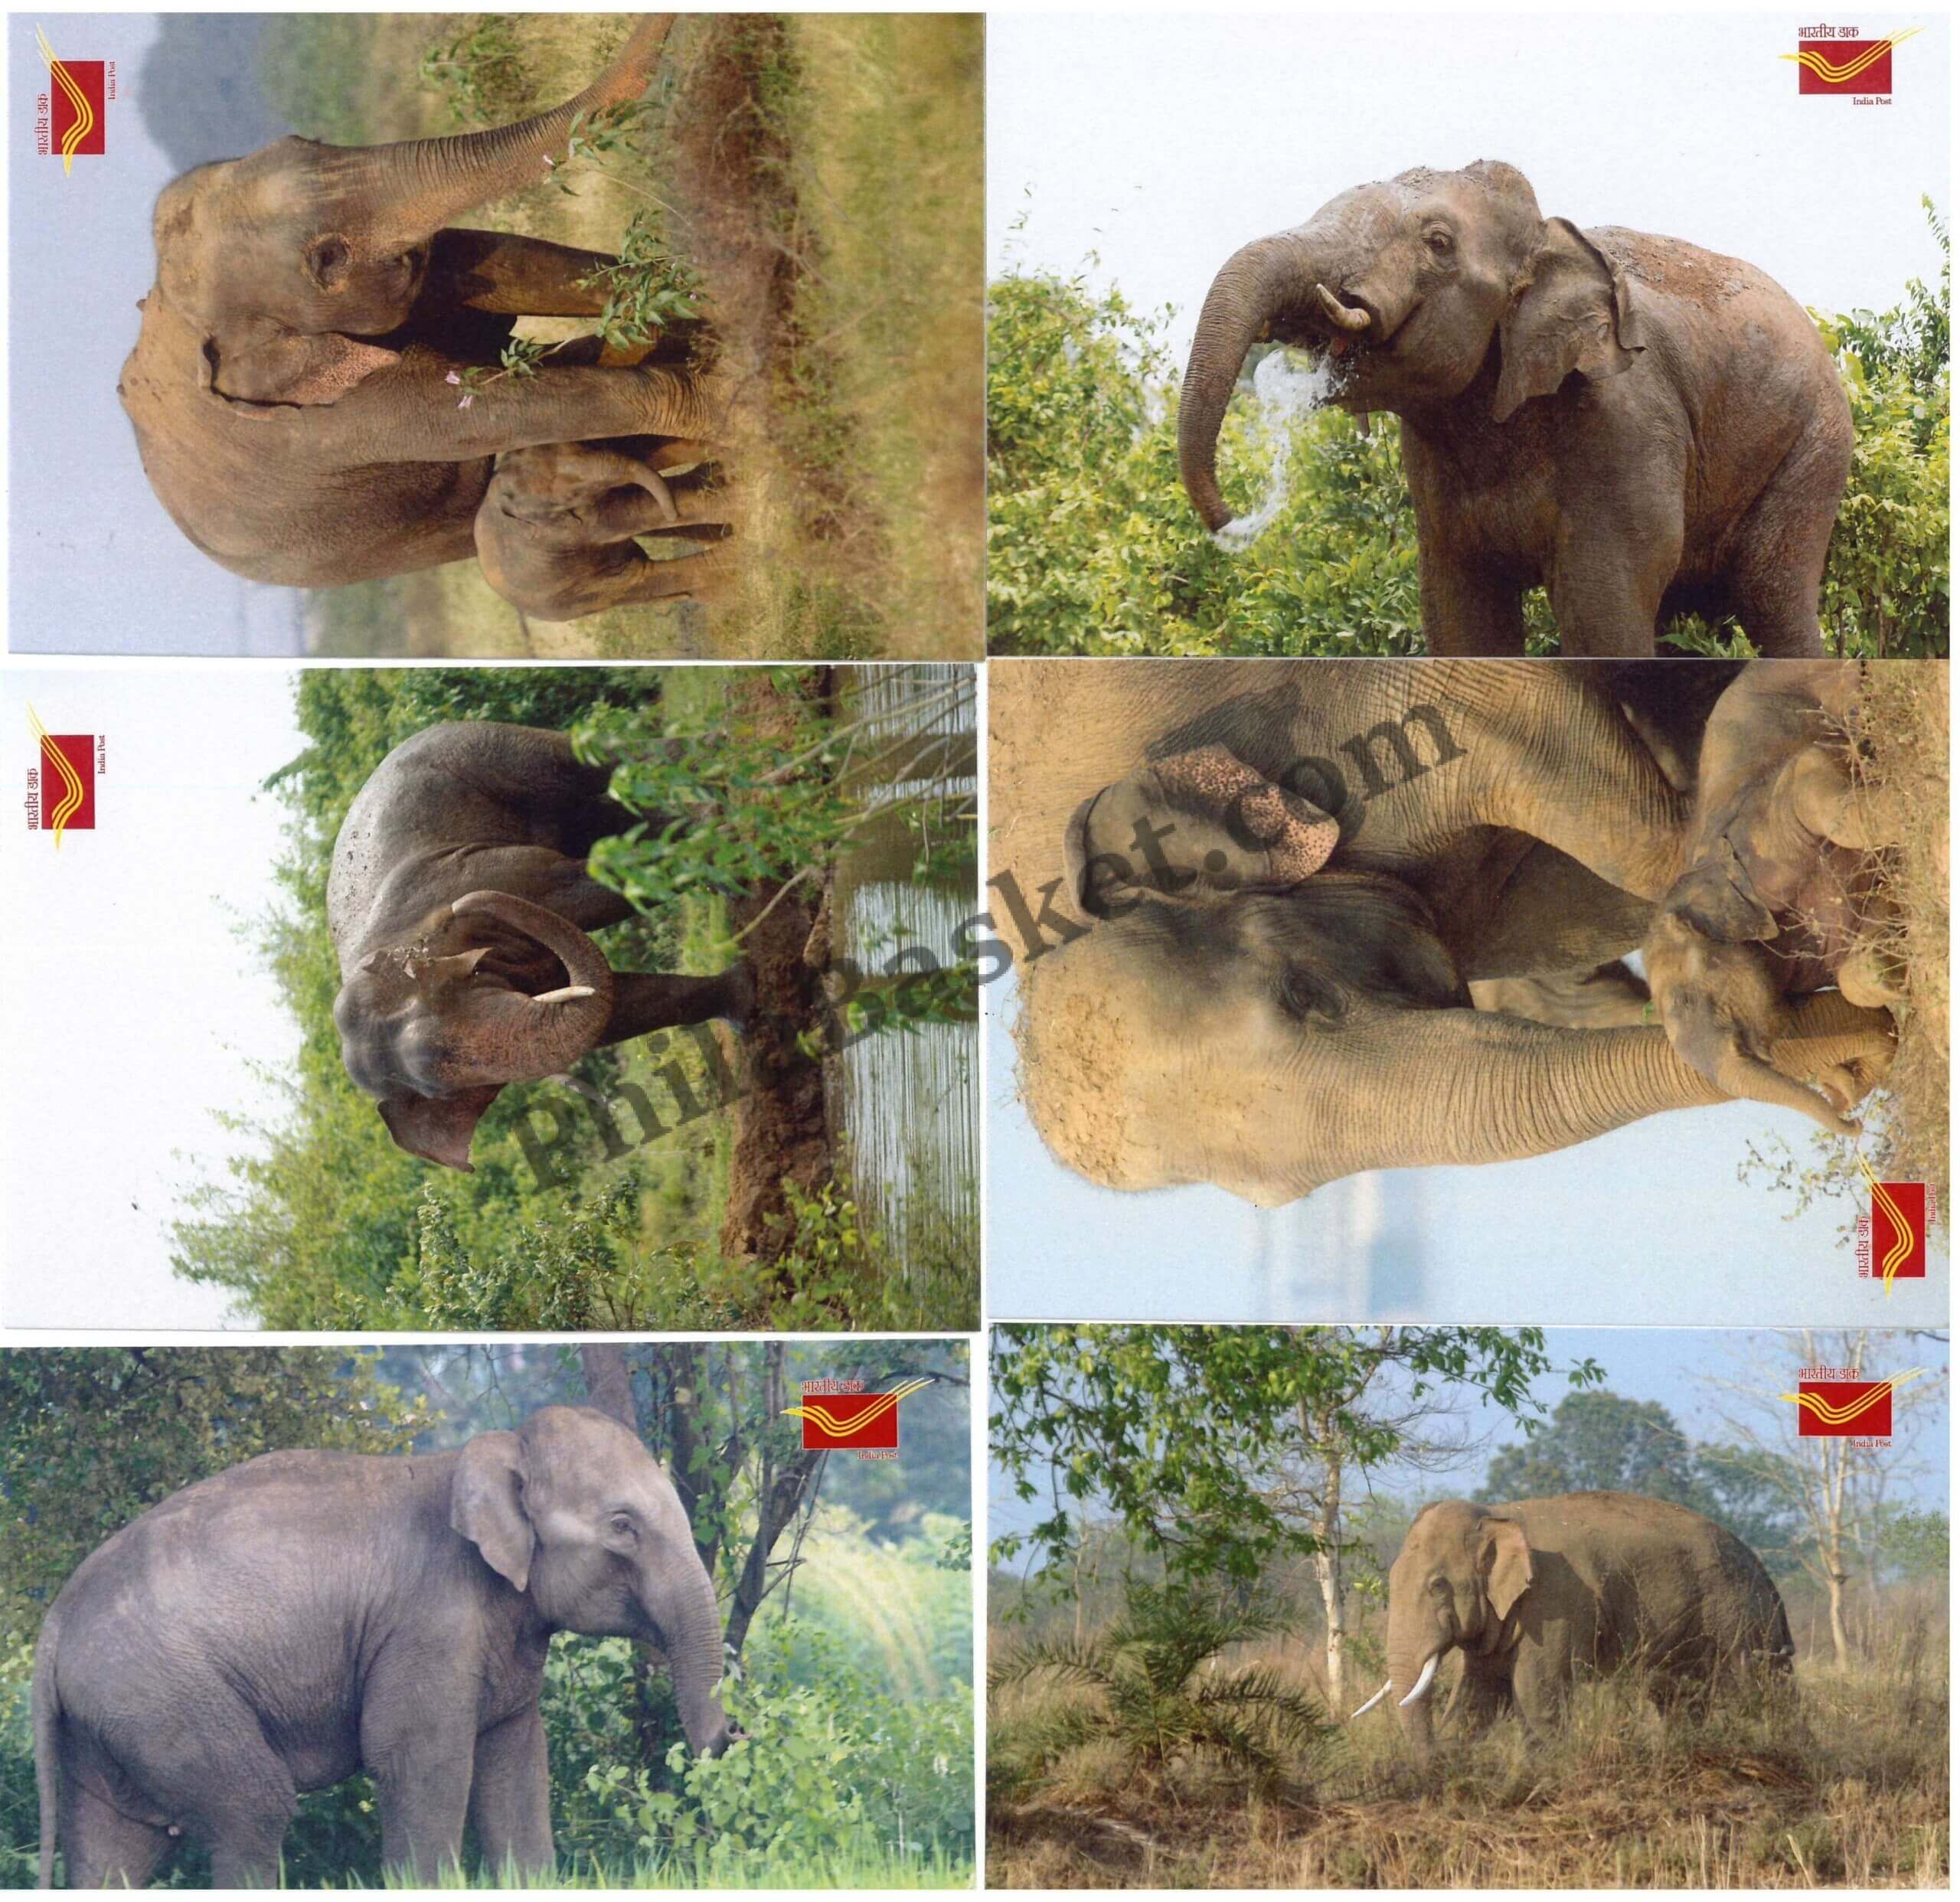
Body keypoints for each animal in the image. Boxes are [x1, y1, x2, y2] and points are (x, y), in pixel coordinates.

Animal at [31, 1406, 731, 1887]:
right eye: (623, 1527)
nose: (733, 1738)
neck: (489, 1452)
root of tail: (55, 1623)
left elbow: (515, 1761)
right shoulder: (430, 1624)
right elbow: (417, 1757)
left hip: (111, 1719)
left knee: (115, 1847)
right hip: (164, 1696)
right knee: (253, 1810)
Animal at [328, 719, 750, 1170]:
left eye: (458, 980)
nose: (460, 907)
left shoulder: (477, 873)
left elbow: (583, 891)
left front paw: (734, 862)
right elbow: (621, 1007)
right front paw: (746, 1003)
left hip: (483, 749)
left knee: (588, 765)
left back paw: (719, 766)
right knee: (602, 821)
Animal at [474, 437, 732, 620]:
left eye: (586, 444)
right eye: (570, 497)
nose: (674, 514)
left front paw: (720, 467)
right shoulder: (563, 530)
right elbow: (635, 510)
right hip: (576, 596)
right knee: (637, 579)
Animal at [1180, 161, 1850, 657]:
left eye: (1438, 244)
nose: (1231, 520)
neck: (1545, 238)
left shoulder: (1626, 423)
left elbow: (1601, 614)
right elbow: (1461, 618)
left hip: (1815, 445)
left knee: (1772, 599)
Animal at [1350, 1493, 1794, 1762]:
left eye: (1438, 1586)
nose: (1434, 1759)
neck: (1497, 1512)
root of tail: (1764, 1569)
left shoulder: (1555, 1602)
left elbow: (1536, 1694)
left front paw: (1541, 1770)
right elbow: (1479, 1696)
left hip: (1740, 1617)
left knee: (1755, 1689)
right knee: (1680, 1697)